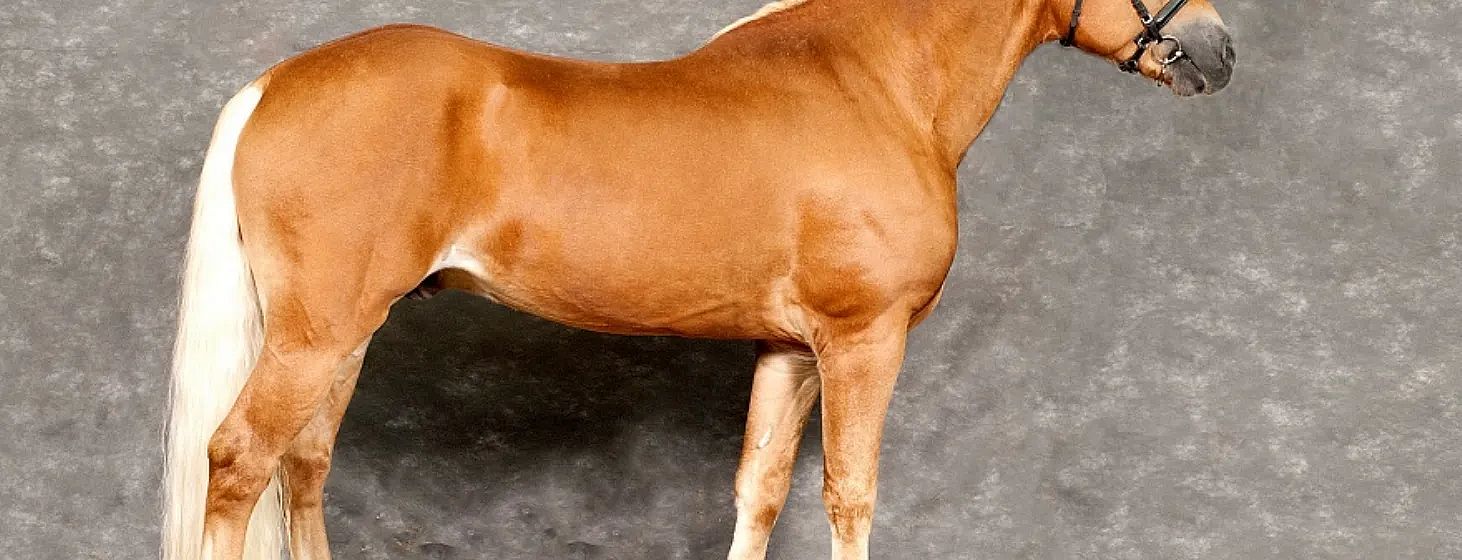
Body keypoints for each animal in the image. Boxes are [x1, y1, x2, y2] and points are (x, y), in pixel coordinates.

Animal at [161, 0, 1235, 558]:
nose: (1220, 50)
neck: (878, 85)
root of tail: (274, 85)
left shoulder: (789, 350)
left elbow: (759, 489)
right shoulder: (864, 340)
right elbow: (850, 492)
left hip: (342, 334)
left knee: (302, 467)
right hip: (317, 334)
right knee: (240, 462)